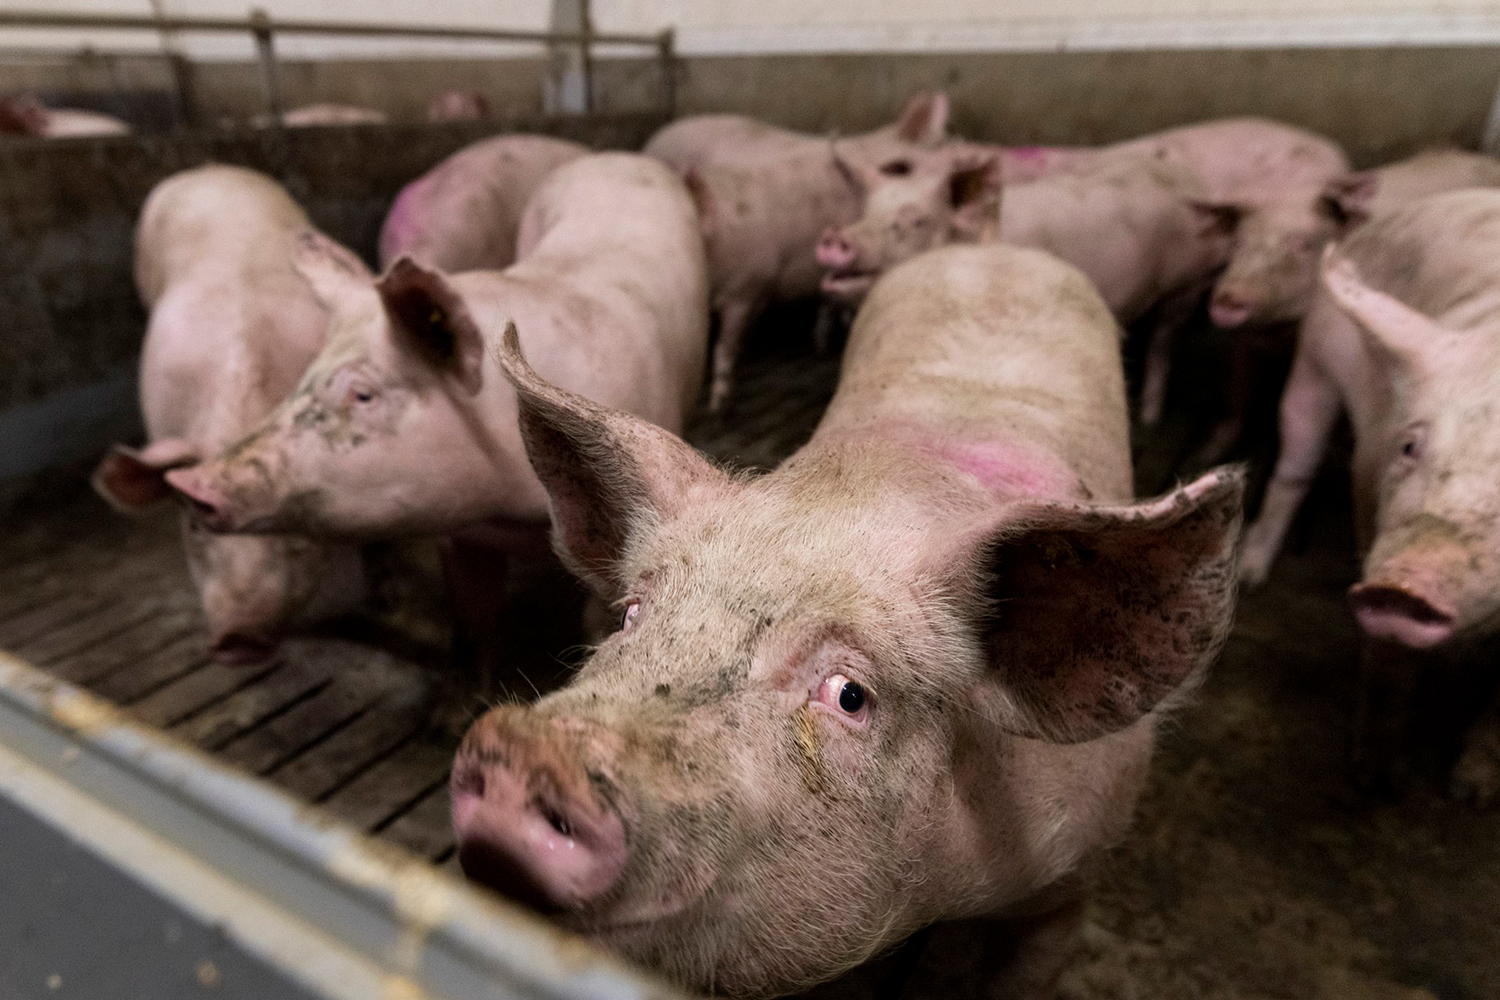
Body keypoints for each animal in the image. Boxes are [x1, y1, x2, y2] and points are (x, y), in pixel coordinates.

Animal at [450, 244, 1248, 1000]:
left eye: (849, 694)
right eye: (631, 615)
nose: (529, 747)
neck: (948, 889)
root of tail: (995, 247)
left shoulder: (1072, 878)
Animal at [645, 91, 948, 410]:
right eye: (903, 168)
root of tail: (660, 136)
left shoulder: (750, 286)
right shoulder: (747, 287)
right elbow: (726, 346)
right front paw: (719, 406)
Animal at [822, 151, 1230, 425]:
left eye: (916, 221)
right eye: (864, 214)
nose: (838, 239)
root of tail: (1185, 178)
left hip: (1188, 286)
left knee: (1164, 343)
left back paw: (1149, 417)